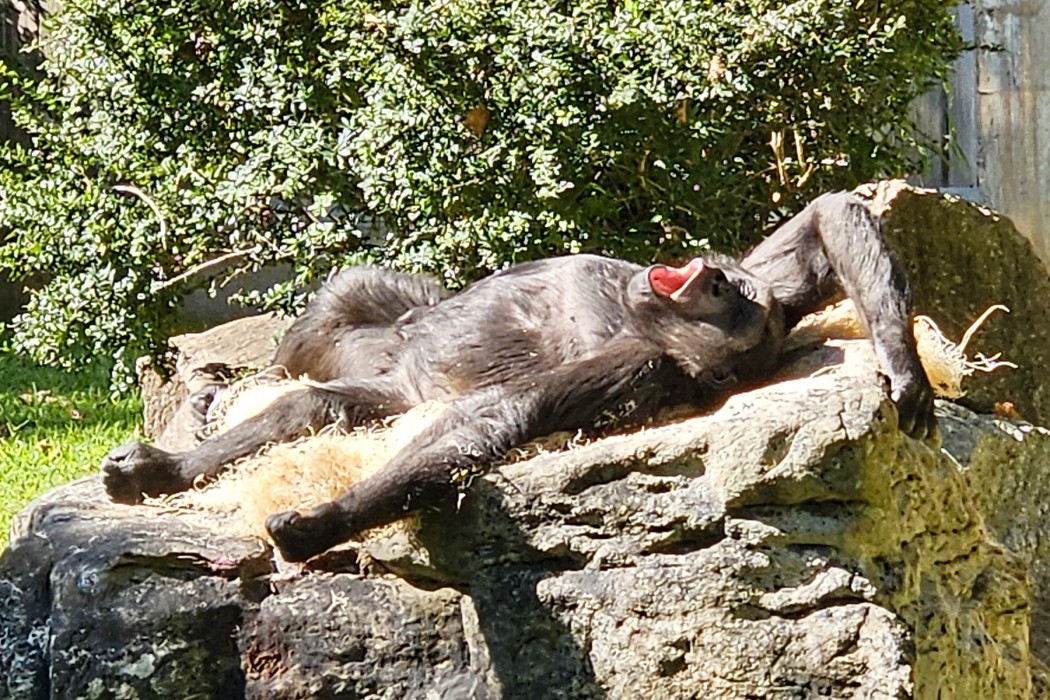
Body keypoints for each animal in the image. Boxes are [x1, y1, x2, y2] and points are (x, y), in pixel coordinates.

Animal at [98, 193, 936, 562]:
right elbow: (825, 221)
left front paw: (325, 518)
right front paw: (905, 364)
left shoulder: (633, 369)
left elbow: (499, 418)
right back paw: (192, 432)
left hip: (391, 396)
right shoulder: (776, 284)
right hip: (387, 342)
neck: (640, 319)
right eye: (733, 290)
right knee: (334, 322)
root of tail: (403, 376)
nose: (713, 276)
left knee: (324, 406)